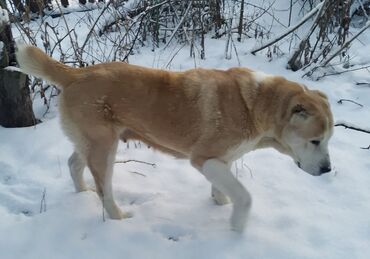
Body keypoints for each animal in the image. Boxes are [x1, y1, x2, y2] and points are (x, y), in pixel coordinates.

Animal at [15, 43, 334, 233]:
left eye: (328, 138)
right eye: (315, 141)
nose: (327, 170)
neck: (255, 103)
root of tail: (75, 74)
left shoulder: (223, 160)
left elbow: (225, 191)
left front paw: (220, 207)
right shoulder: (204, 159)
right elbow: (244, 196)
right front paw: (237, 229)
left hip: (91, 142)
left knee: (73, 164)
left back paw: (82, 193)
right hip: (104, 147)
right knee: (105, 190)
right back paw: (118, 218)